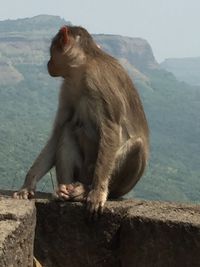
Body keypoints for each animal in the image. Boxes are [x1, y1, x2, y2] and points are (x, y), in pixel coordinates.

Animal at [13, 26, 149, 217]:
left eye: (51, 50)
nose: (48, 62)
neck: (82, 68)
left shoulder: (98, 81)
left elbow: (111, 129)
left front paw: (97, 192)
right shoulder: (67, 87)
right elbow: (58, 131)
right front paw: (27, 185)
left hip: (110, 180)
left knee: (137, 145)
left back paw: (86, 191)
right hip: (82, 173)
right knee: (68, 128)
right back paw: (64, 191)